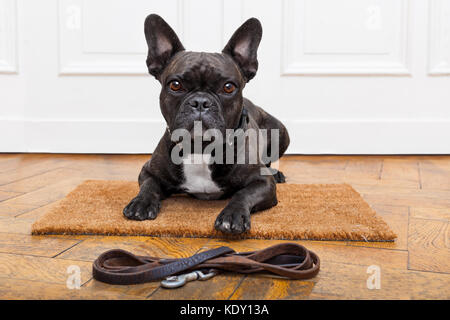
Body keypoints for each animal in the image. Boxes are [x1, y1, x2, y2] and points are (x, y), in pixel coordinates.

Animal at [123, 15, 290, 234]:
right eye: (175, 85)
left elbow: (243, 194)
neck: (200, 147)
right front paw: (140, 203)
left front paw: (232, 215)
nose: (201, 102)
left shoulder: (262, 182)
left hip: (280, 132)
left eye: (228, 87)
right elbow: (149, 186)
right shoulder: (149, 171)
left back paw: (277, 173)